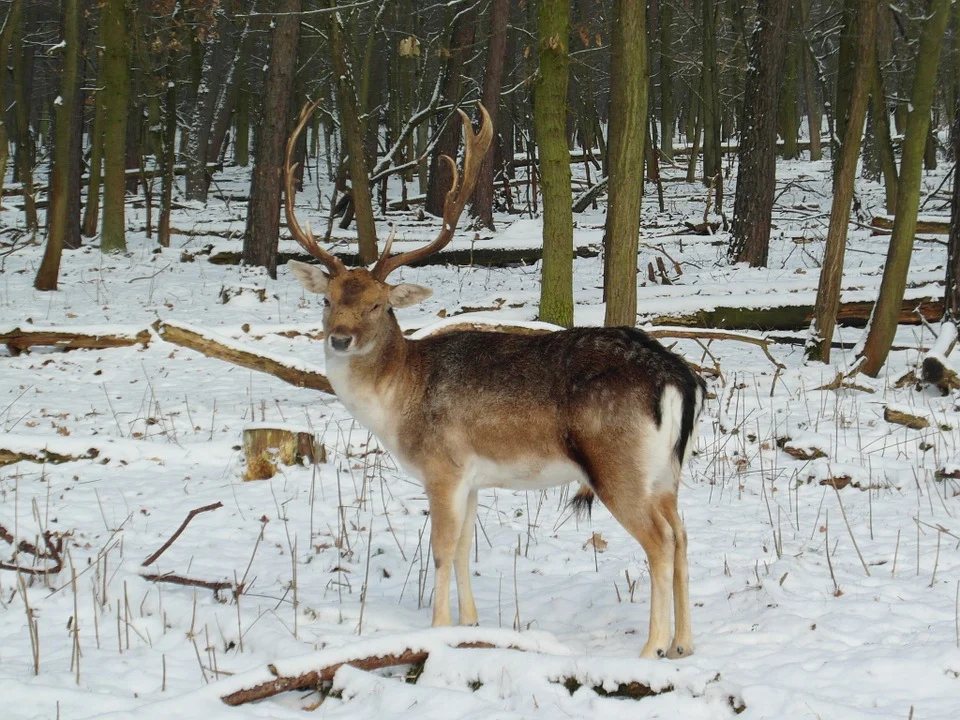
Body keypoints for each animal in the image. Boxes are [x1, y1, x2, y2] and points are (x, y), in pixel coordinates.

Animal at [284, 100, 704, 660]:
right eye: (327, 300)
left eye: (378, 305)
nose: (340, 339)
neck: (399, 402)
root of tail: (680, 377)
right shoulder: (473, 477)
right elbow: (465, 548)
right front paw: (471, 623)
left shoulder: (442, 465)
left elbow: (441, 549)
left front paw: (437, 629)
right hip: (666, 472)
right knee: (683, 533)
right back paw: (683, 644)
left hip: (618, 465)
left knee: (660, 541)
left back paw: (652, 648)